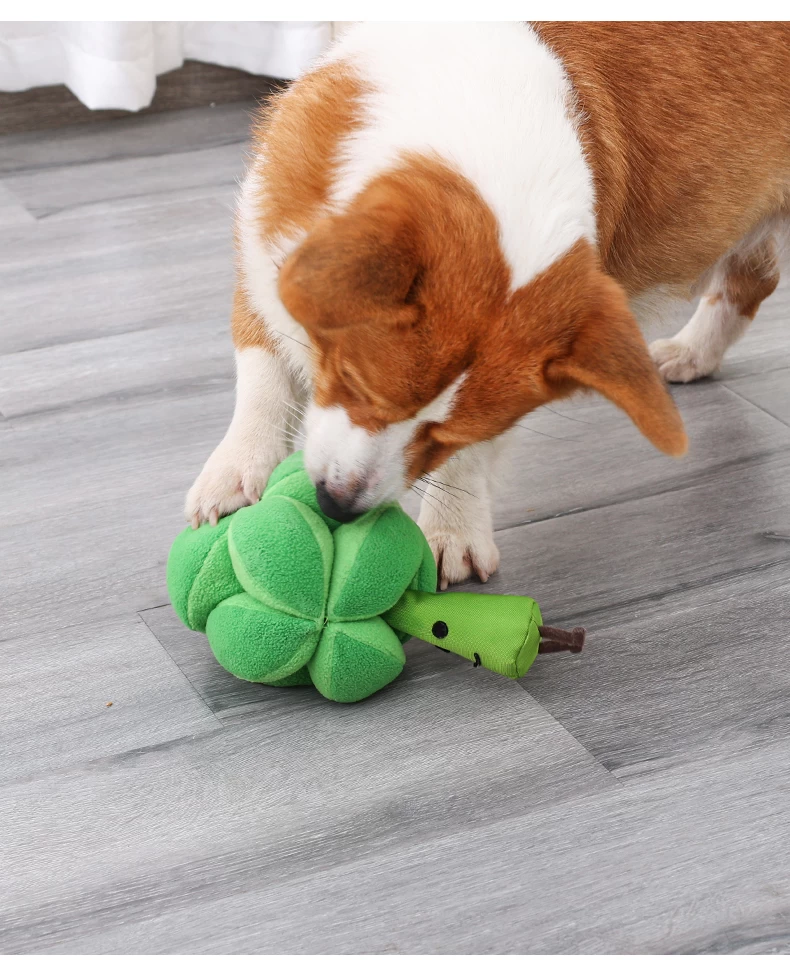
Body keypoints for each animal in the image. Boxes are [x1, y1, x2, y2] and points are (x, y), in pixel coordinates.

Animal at [187, 22, 790, 588]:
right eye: (353, 383)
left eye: (445, 437)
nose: (338, 505)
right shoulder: (262, 256)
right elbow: (262, 379)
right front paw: (234, 473)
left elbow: (468, 462)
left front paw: (451, 533)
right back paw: (692, 353)